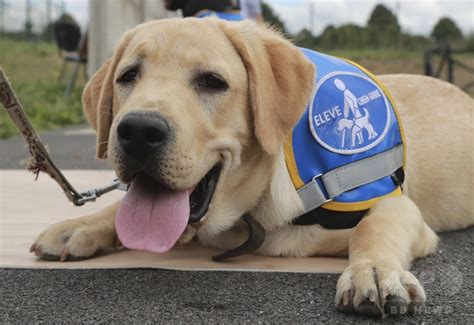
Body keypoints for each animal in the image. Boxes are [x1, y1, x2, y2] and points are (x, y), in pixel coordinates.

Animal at [31, 18, 472, 316]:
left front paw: (376, 272)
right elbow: (119, 209)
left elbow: (371, 229)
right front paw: (80, 225)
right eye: (128, 76)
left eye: (212, 81)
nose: (138, 130)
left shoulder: (395, 202)